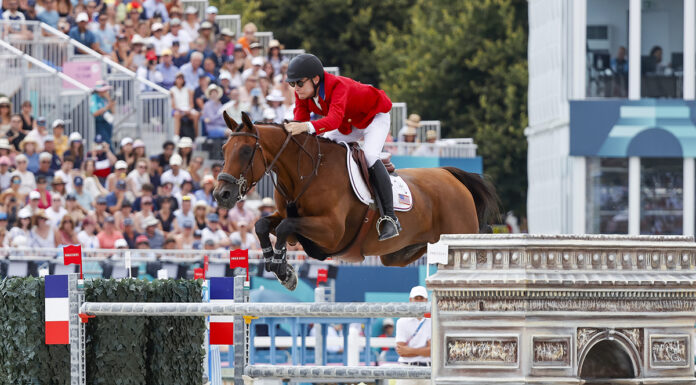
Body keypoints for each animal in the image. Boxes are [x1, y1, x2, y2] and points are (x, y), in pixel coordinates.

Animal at [215, 112, 498, 290]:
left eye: (246, 151)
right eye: (223, 150)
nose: (221, 195)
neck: (304, 172)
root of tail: (451, 176)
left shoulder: (331, 232)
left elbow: (285, 227)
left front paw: (282, 269)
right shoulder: (290, 219)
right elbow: (262, 225)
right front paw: (278, 266)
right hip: (396, 255)